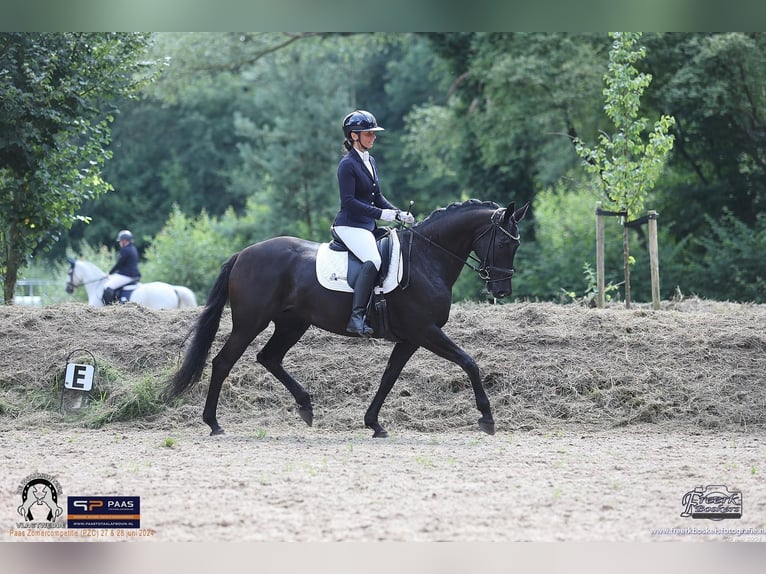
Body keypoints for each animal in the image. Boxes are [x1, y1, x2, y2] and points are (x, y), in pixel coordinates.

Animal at [164, 200, 528, 438]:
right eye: (504, 241)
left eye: (516, 244)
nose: (502, 289)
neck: (427, 258)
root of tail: (243, 254)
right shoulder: (426, 331)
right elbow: (468, 362)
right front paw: (487, 417)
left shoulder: (411, 338)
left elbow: (389, 377)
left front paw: (374, 423)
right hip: (250, 322)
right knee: (223, 362)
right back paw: (213, 423)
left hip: (292, 324)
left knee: (269, 357)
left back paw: (306, 407)